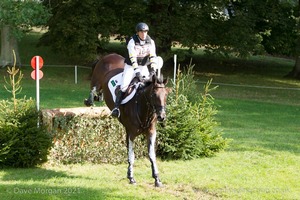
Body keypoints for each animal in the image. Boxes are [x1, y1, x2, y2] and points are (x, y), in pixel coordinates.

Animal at [84, 53, 171, 188]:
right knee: (94, 89)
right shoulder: (131, 133)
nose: (161, 116)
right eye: (154, 95)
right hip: (97, 80)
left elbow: (152, 155)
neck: (143, 108)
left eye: (166, 95)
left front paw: (157, 179)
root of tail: (108, 56)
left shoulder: (151, 132)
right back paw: (90, 100)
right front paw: (131, 177)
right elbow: (131, 155)